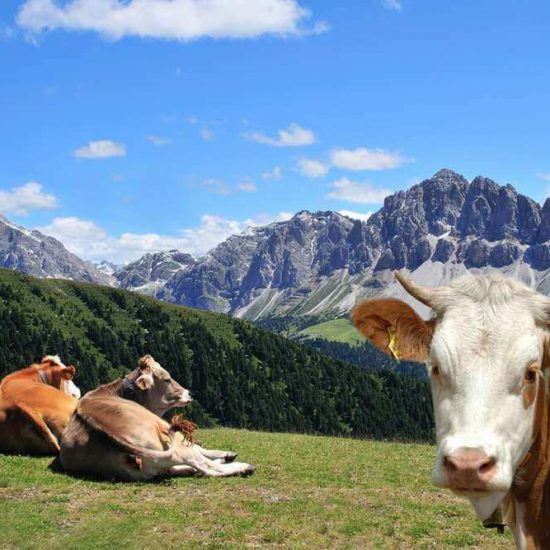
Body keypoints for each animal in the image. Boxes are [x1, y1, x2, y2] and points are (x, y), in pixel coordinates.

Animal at [59, 356, 256, 480]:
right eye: (167, 379)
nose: (190, 393)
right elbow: (199, 449)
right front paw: (225, 454)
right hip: (169, 435)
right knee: (206, 466)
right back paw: (242, 467)